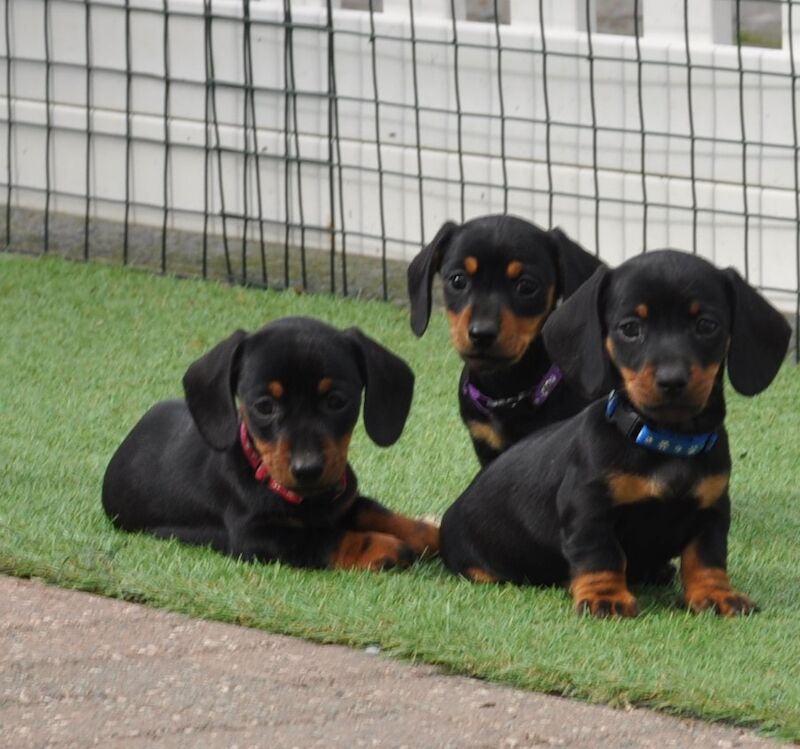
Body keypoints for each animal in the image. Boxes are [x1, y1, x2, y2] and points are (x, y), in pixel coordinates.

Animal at [101, 314, 438, 568]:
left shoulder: (344, 500)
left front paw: (430, 533)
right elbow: (325, 538)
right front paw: (385, 548)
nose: (307, 469)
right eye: (264, 406)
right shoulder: (257, 536)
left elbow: (376, 511)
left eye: (336, 401)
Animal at [440, 250, 792, 612]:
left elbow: (707, 556)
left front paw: (716, 593)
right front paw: (604, 597)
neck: (666, 442)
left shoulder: (712, 509)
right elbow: (601, 554)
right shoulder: (587, 508)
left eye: (707, 325)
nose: (672, 380)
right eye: (630, 328)